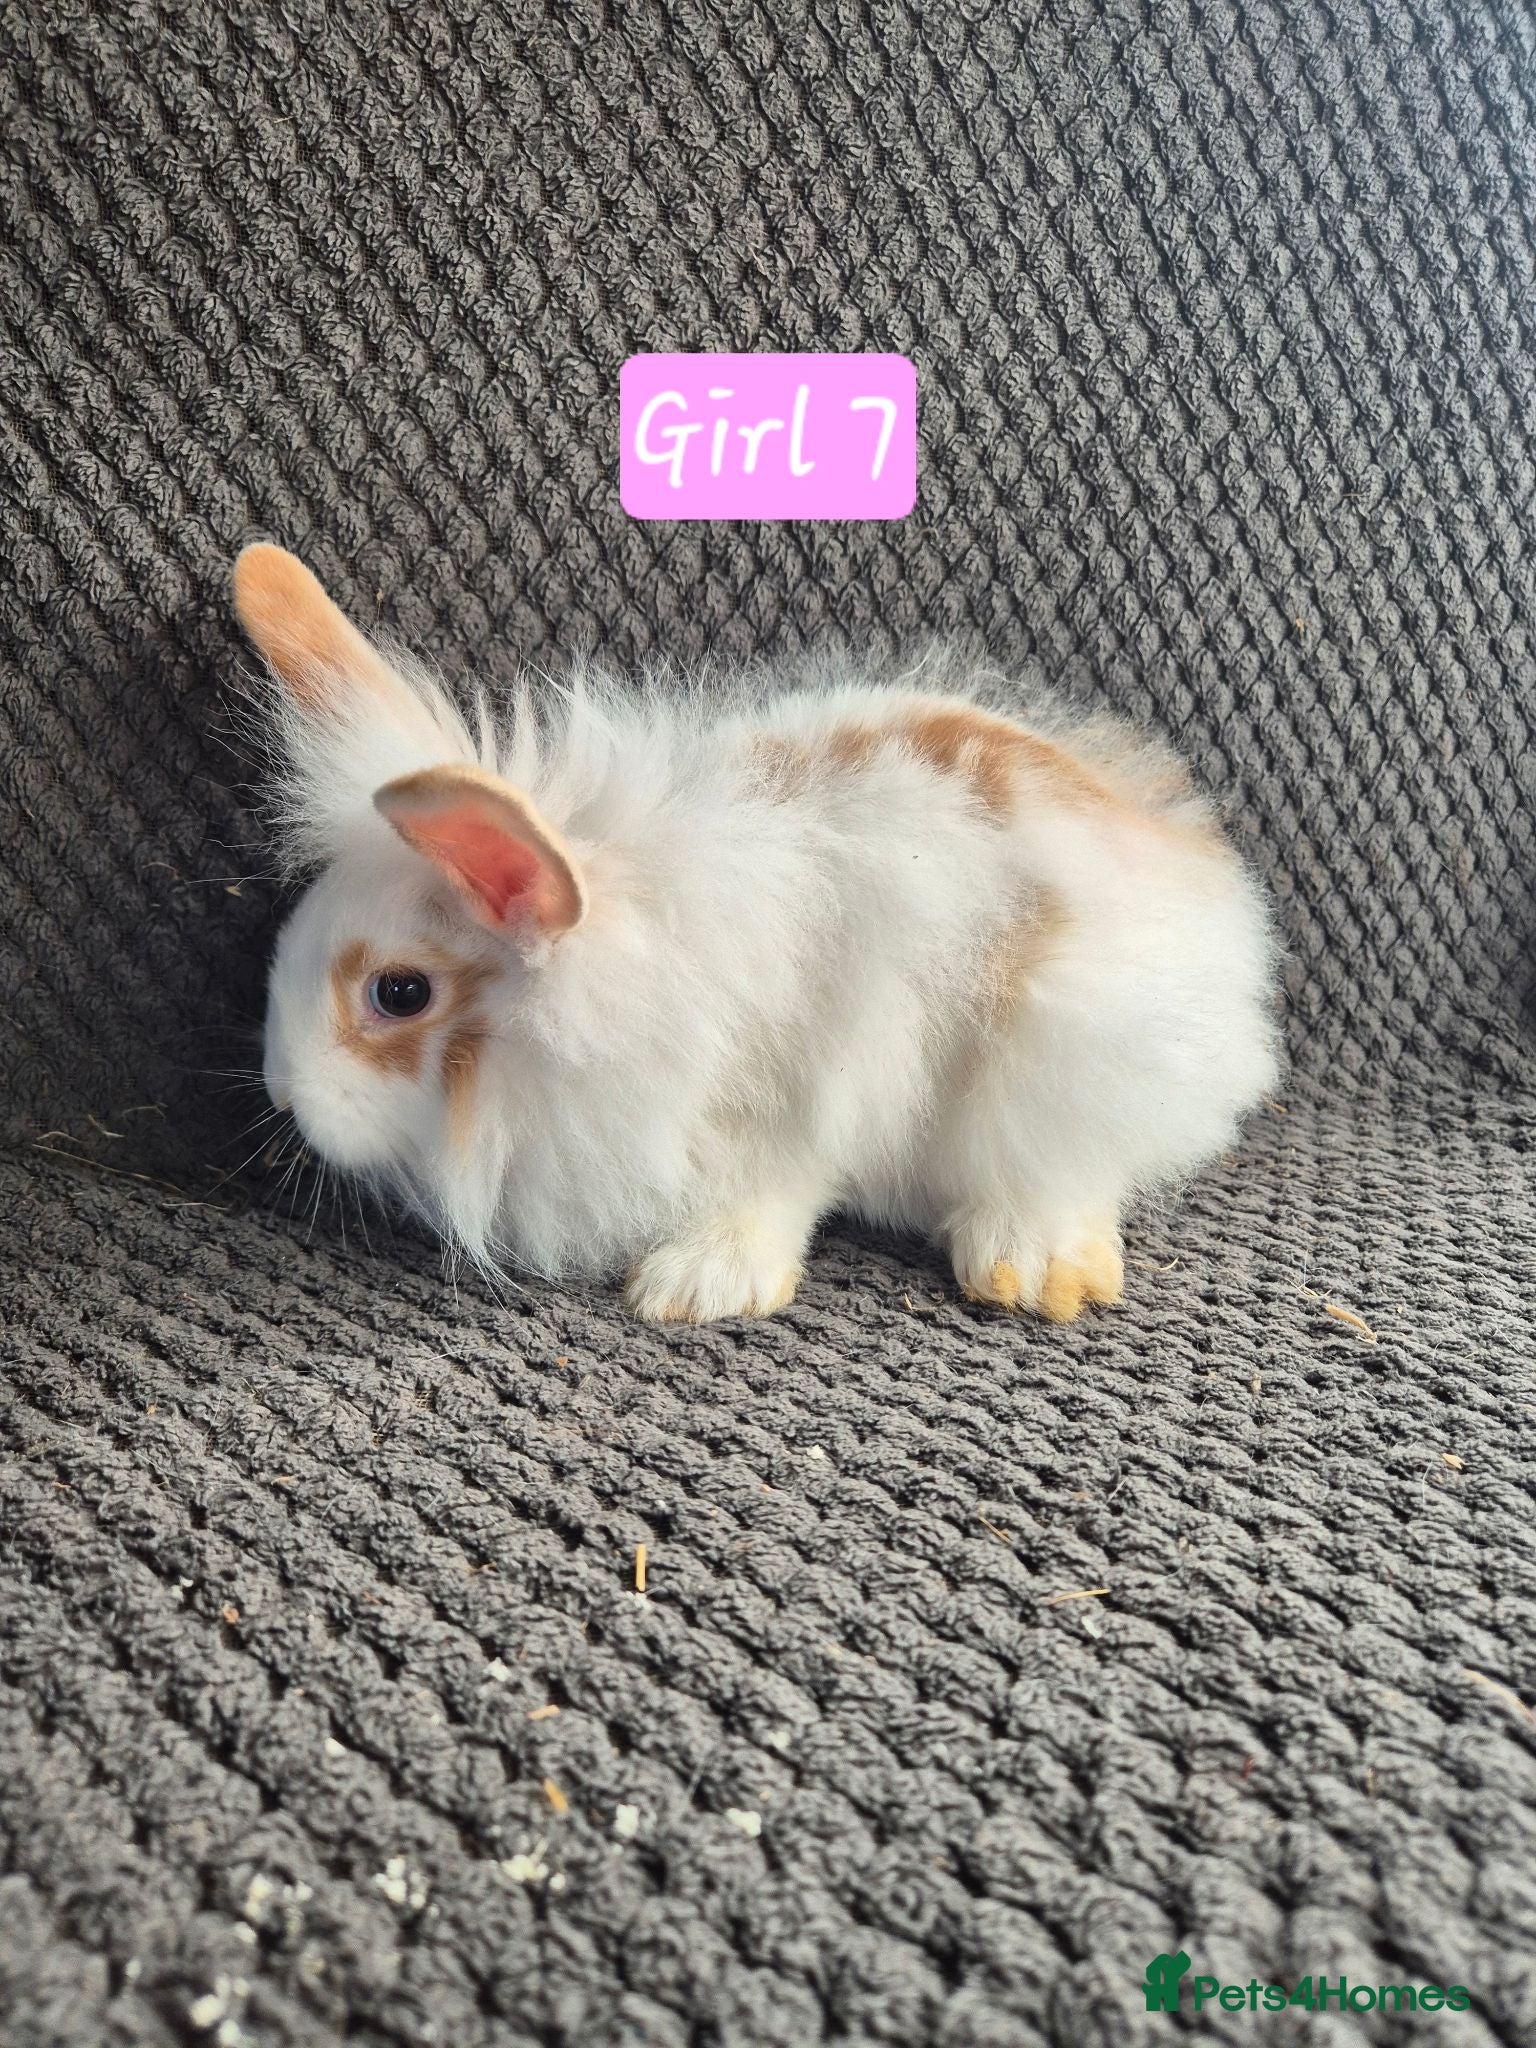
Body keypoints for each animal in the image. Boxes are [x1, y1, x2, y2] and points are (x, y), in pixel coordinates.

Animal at [236, 543, 1281, 1324]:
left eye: (398, 992)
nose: (283, 1093)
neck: (613, 992)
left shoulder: (784, 1106)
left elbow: (763, 1195)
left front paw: (691, 1286)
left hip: (1065, 1044)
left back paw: (1030, 1267)